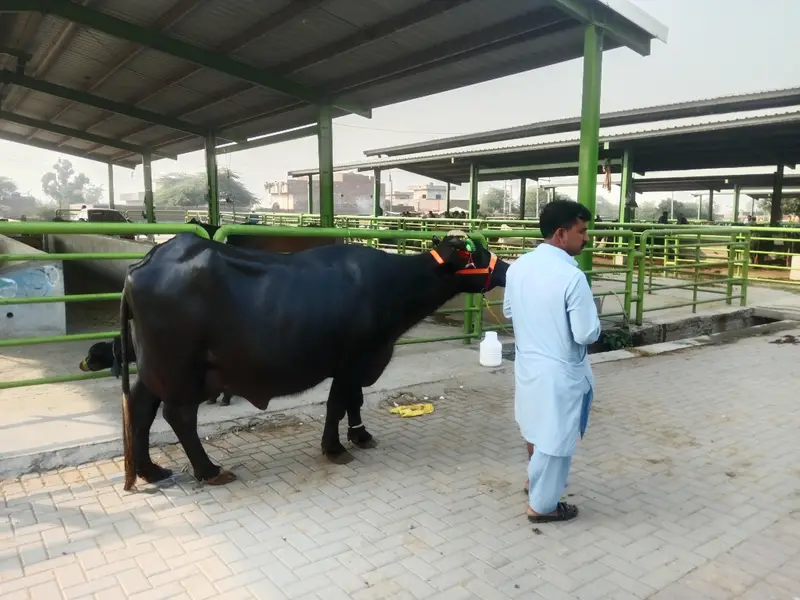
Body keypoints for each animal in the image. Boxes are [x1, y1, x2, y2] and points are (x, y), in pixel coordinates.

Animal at [118, 231, 508, 491]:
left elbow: (354, 401)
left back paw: (151, 470)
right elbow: (338, 403)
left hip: (154, 369)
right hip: (179, 369)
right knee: (178, 415)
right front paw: (334, 448)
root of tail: (142, 265)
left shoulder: (357, 364)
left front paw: (360, 435)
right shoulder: (351, 360)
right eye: (475, 255)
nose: (504, 267)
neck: (393, 285)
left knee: (140, 408)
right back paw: (210, 470)